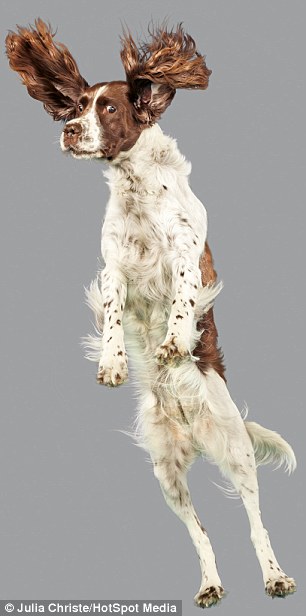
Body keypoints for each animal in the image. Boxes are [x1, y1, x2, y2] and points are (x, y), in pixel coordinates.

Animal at [5, 20, 296, 612]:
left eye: (109, 107)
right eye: (77, 105)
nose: (69, 130)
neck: (137, 191)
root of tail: (194, 431)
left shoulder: (187, 254)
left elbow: (182, 297)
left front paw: (174, 341)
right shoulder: (113, 268)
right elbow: (115, 314)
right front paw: (114, 362)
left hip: (237, 454)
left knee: (256, 522)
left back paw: (276, 576)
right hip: (167, 474)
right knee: (201, 532)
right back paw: (210, 584)